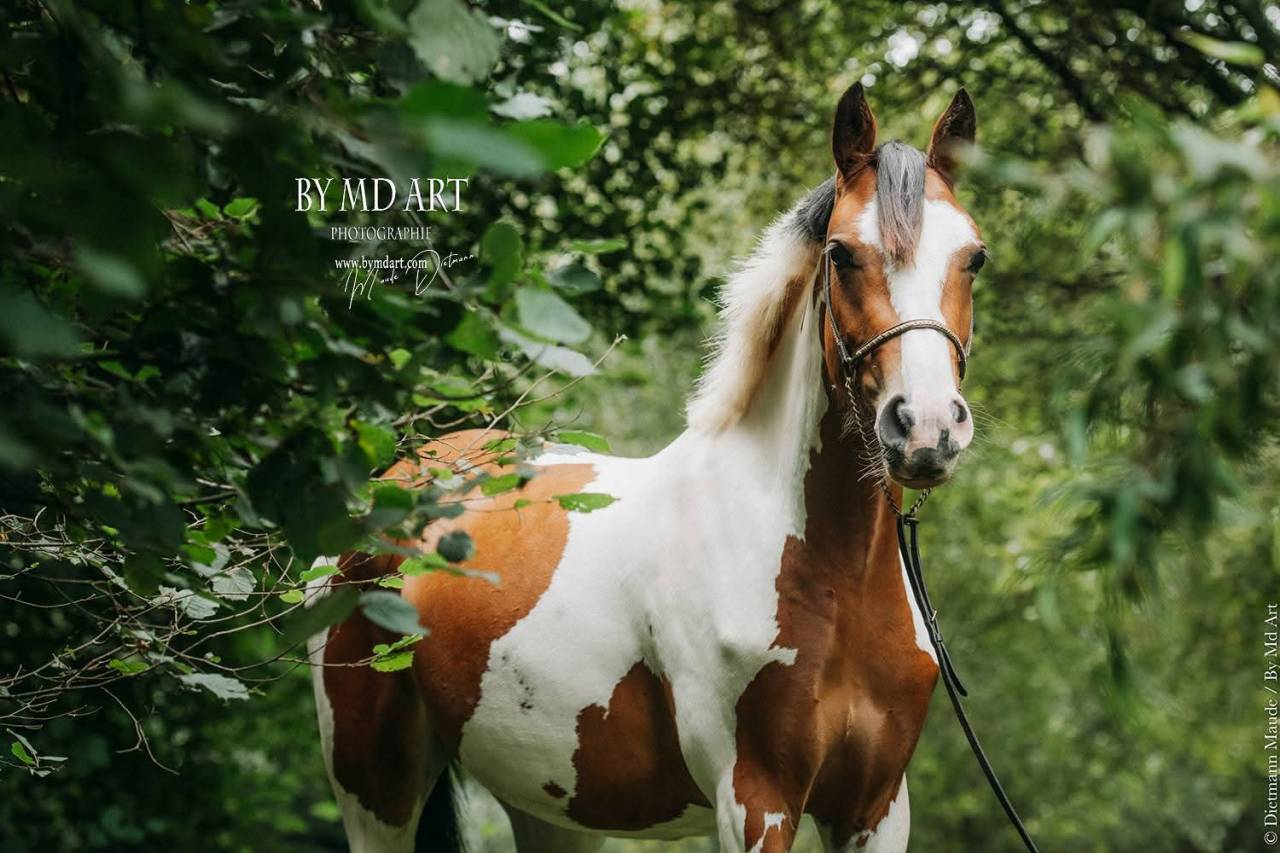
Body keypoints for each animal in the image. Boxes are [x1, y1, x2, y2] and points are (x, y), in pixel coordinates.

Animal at [307, 81, 985, 853]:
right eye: (841, 254)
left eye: (974, 257)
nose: (926, 428)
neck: (826, 572)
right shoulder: (755, 800)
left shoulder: (875, 809)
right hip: (375, 787)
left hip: (547, 802)